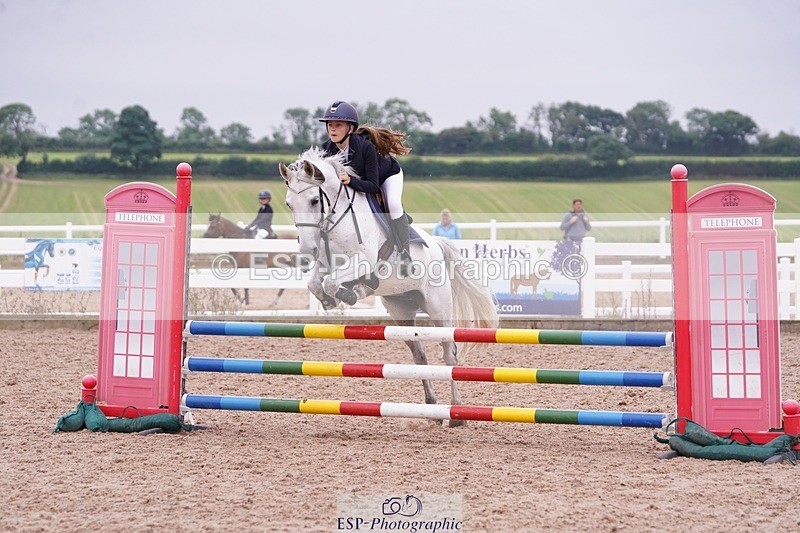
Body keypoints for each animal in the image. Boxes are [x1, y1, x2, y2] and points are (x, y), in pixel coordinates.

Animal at [279, 147, 499, 426]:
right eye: (289, 204)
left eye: (314, 201)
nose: (308, 250)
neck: (337, 222)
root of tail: (437, 245)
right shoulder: (326, 262)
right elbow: (317, 283)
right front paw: (334, 299)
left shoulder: (363, 260)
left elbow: (332, 282)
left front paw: (347, 294)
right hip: (401, 310)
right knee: (419, 354)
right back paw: (432, 408)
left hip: (438, 309)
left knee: (449, 353)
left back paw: (457, 413)